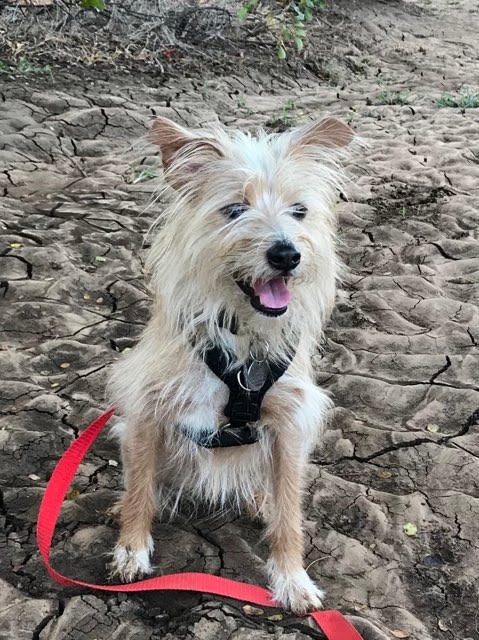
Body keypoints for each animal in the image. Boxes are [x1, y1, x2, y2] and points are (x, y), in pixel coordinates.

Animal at [109, 112, 356, 612]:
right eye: (235, 210)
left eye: (299, 210)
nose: (286, 253)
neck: (243, 341)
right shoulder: (146, 409)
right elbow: (141, 487)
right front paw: (131, 548)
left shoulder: (291, 421)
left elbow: (290, 513)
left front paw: (292, 578)